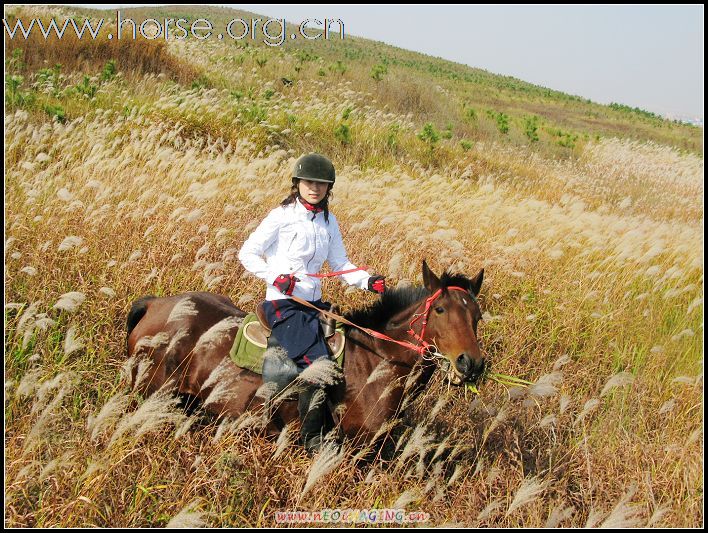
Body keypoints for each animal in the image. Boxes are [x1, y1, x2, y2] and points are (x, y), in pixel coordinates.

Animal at [124, 260, 484, 442]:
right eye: (439, 310)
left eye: (477, 316)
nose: (471, 364)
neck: (374, 366)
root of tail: (155, 304)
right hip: (152, 394)